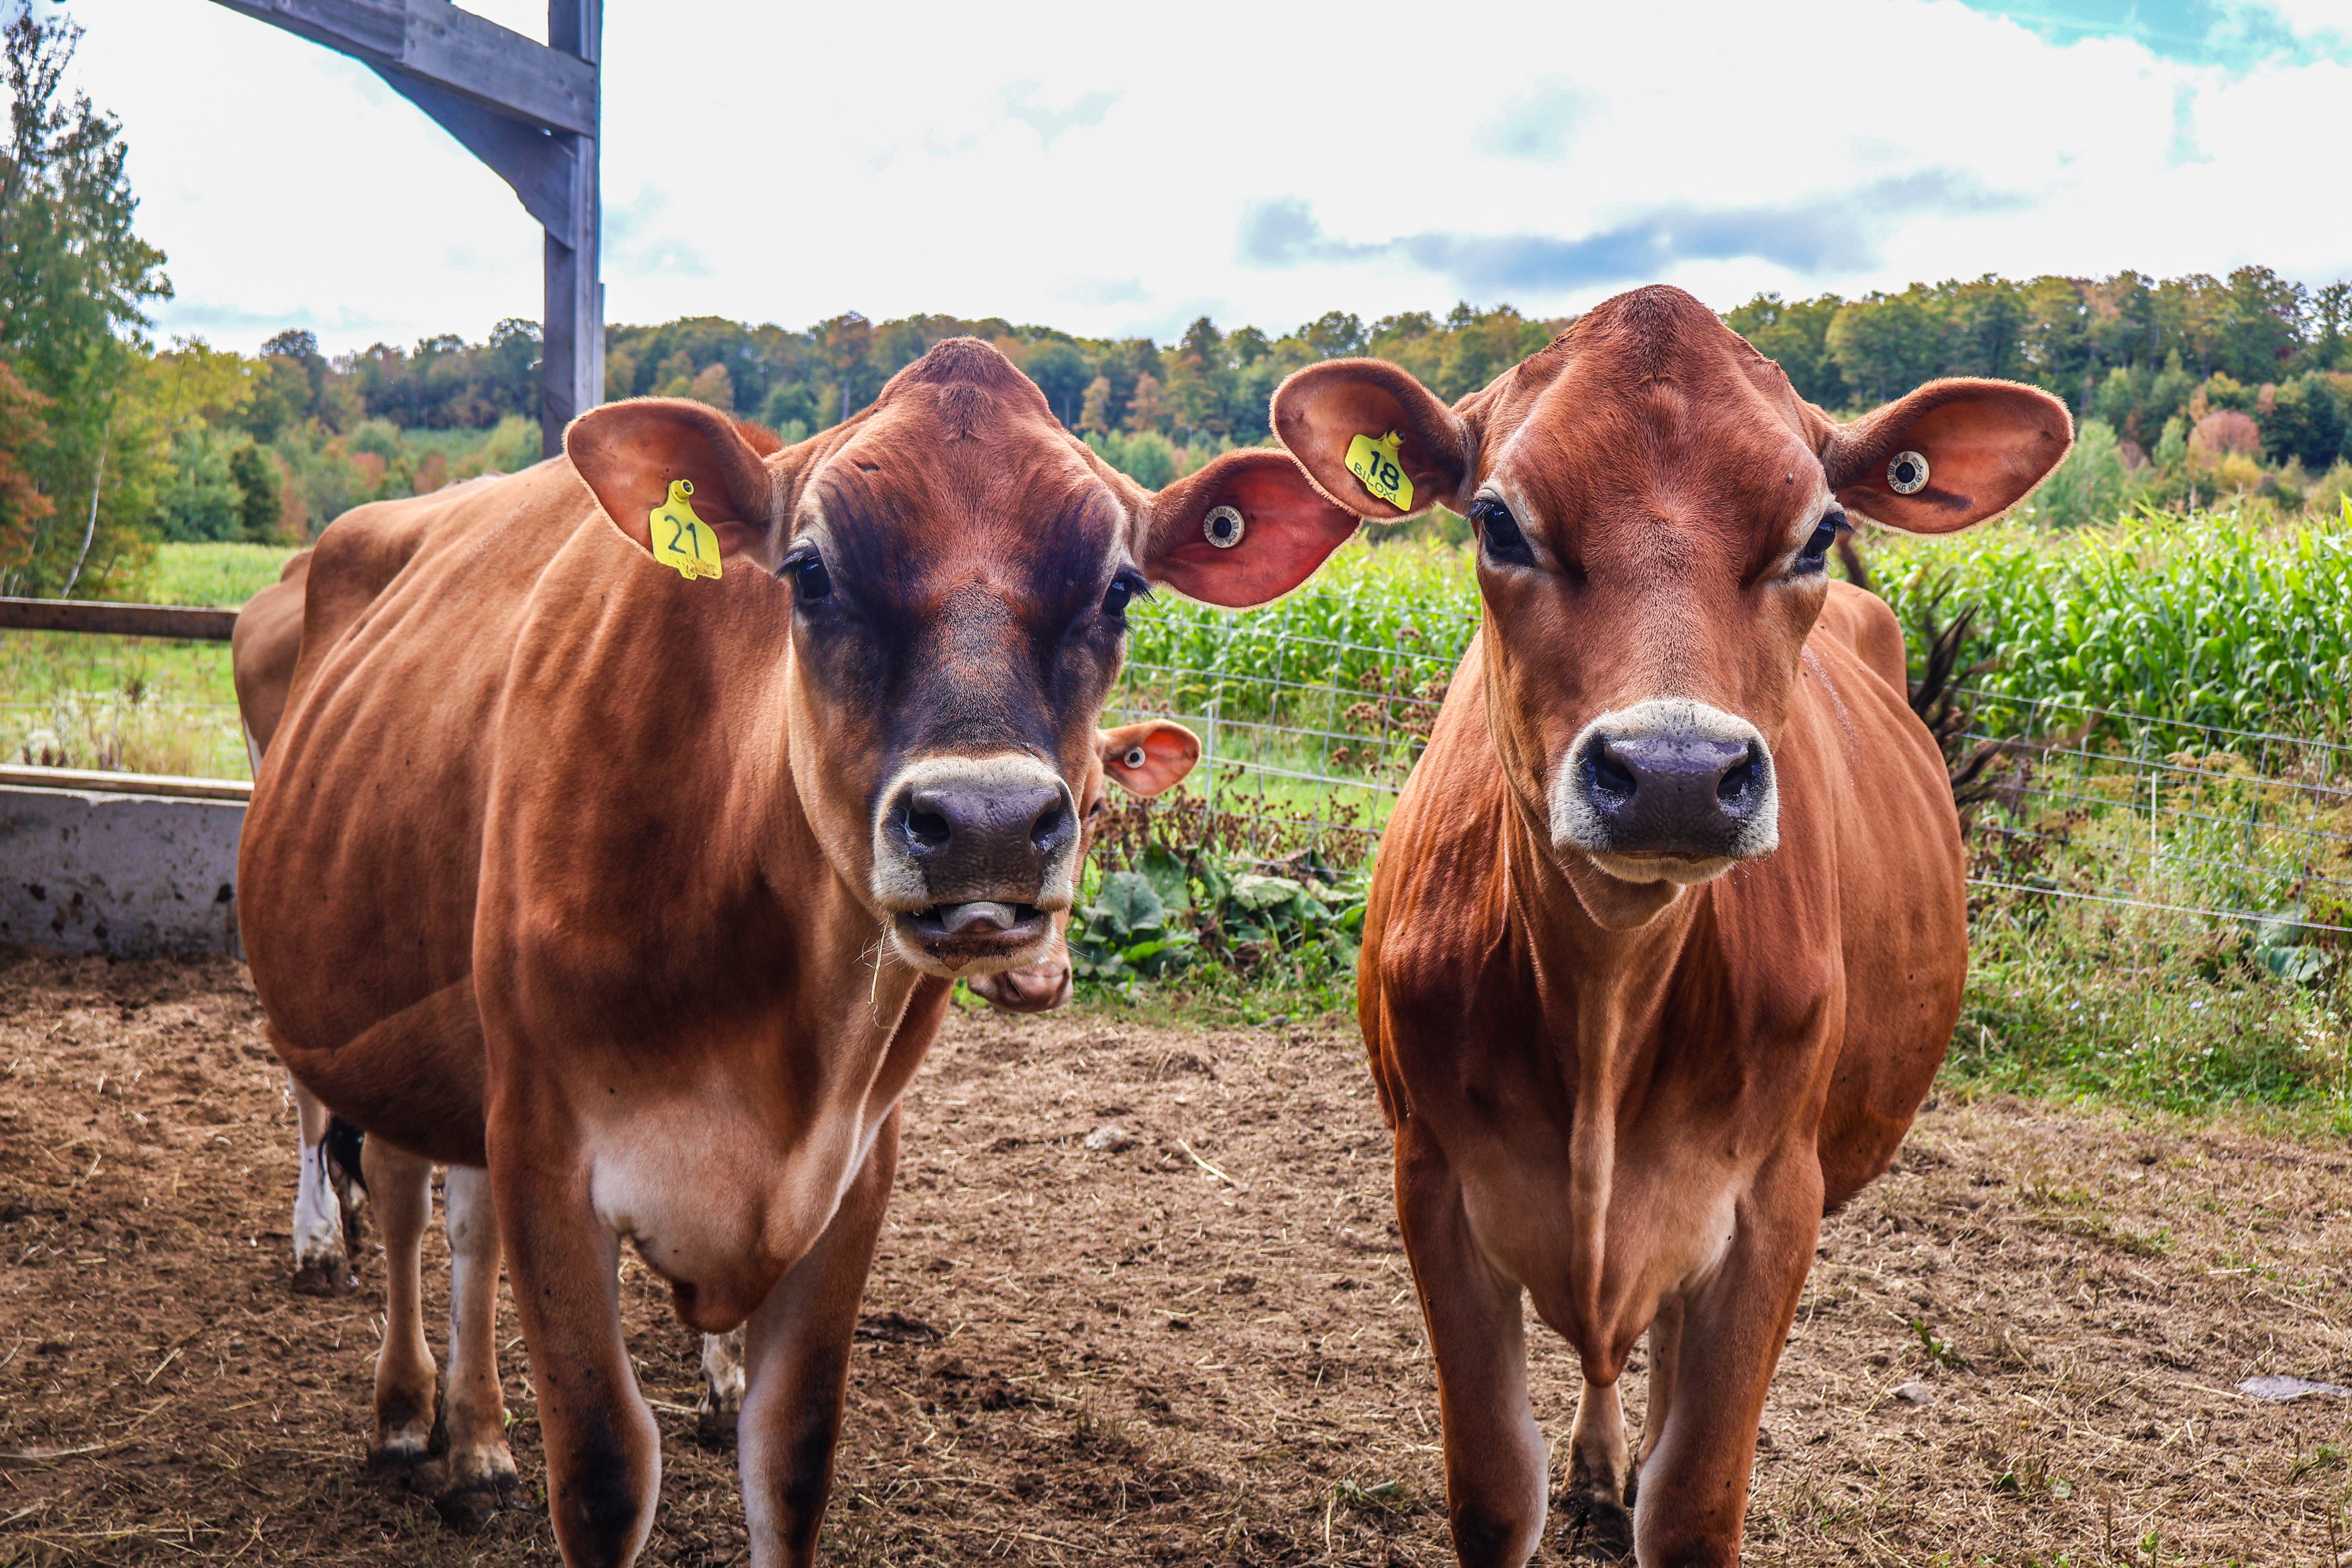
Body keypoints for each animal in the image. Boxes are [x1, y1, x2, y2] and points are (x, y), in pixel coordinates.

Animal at [237, 337, 1352, 1566]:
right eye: (809, 574)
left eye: (1120, 587)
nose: (987, 824)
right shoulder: (546, 1146)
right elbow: (605, 1472)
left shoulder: (851, 1171)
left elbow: (792, 1460)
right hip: (349, 998)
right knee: (384, 1184)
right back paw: (390, 1384)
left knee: (462, 1225)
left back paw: (476, 1439)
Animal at [1268, 285, 2070, 1566]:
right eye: (1495, 522)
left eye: (1814, 531)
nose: (1677, 775)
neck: (1605, 990)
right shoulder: (1432, 1179)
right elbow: (1492, 1491)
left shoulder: (1773, 1207)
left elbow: (1694, 1500)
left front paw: (1657, 1480)